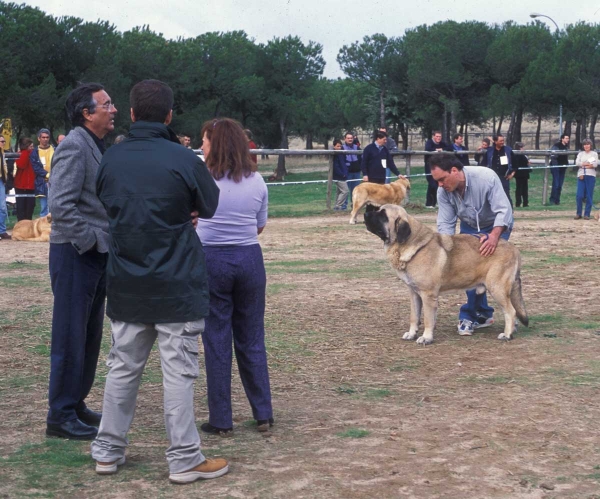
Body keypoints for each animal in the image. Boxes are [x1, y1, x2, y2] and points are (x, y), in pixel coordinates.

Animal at [364, 205, 528, 346]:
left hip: (497, 288)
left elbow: (428, 319)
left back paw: (507, 334)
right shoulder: (414, 294)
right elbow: (414, 317)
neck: (410, 245)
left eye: (383, 215)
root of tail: (514, 249)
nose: (365, 212)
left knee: (510, 311)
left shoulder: (428, 295)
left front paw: (426, 337)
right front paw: (412, 334)